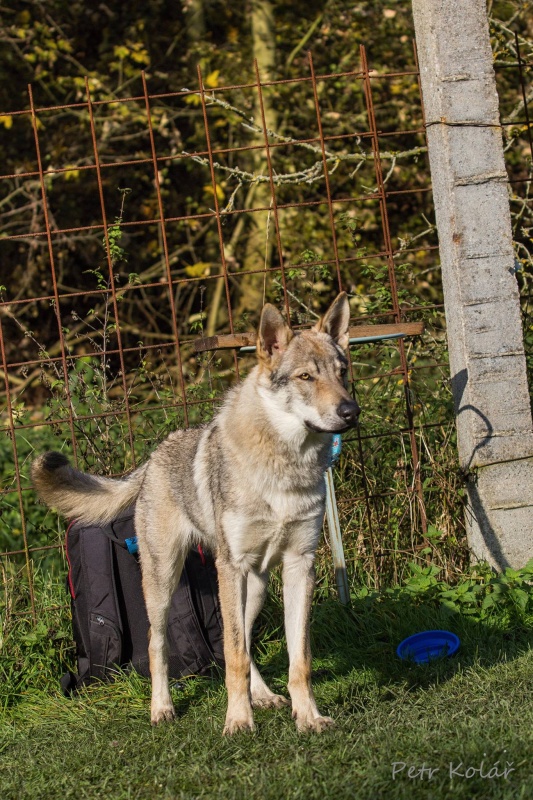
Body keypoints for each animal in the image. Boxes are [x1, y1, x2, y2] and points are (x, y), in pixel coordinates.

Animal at [32, 292, 358, 732]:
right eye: (306, 377)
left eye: (343, 372)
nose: (350, 411)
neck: (285, 466)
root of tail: (151, 459)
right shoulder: (233, 567)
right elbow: (234, 660)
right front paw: (237, 722)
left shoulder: (300, 564)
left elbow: (298, 661)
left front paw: (307, 717)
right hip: (166, 583)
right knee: (161, 647)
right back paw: (162, 709)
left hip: (253, 586)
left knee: (239, 641)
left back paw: (263, 696)